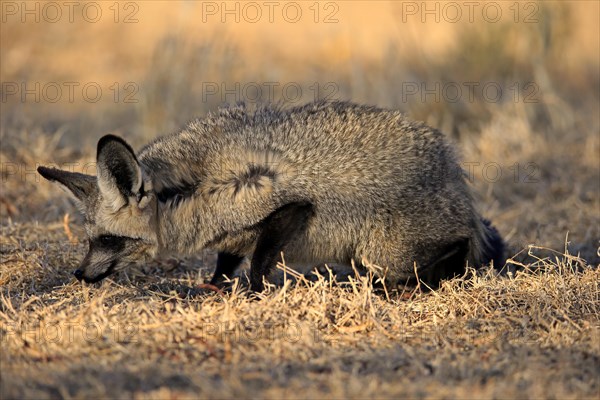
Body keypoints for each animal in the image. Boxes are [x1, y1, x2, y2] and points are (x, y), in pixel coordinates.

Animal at [38, 101, 506, 292]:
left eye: (109, 240)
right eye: (90, 240)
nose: (79, 274)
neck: (195, 186)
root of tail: (454, 173)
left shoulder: (288, 208)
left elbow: (259, 265)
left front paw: (252, 295)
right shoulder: (234, 234)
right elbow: (226, 263)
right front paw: (214, 287)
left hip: (384, 252)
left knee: (457, 251)